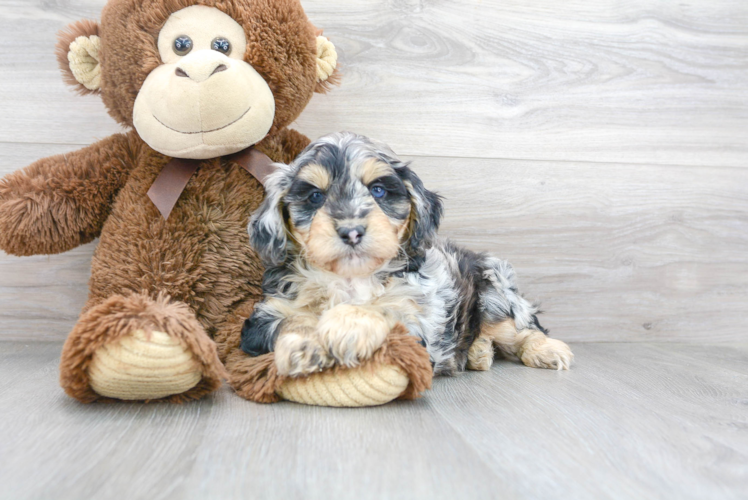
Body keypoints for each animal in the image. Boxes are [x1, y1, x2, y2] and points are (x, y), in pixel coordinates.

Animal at [240, 131, 572, 376]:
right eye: (314, 196)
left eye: (378, 191)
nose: (351, 231)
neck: (350, 278)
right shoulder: (264, 317)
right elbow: (294, 321)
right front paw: (305, 345)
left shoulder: (416, 324)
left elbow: (382, 313)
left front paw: (348, 325)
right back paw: (478, 353)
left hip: (493, 293)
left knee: (521, 328)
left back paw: (546, 350)